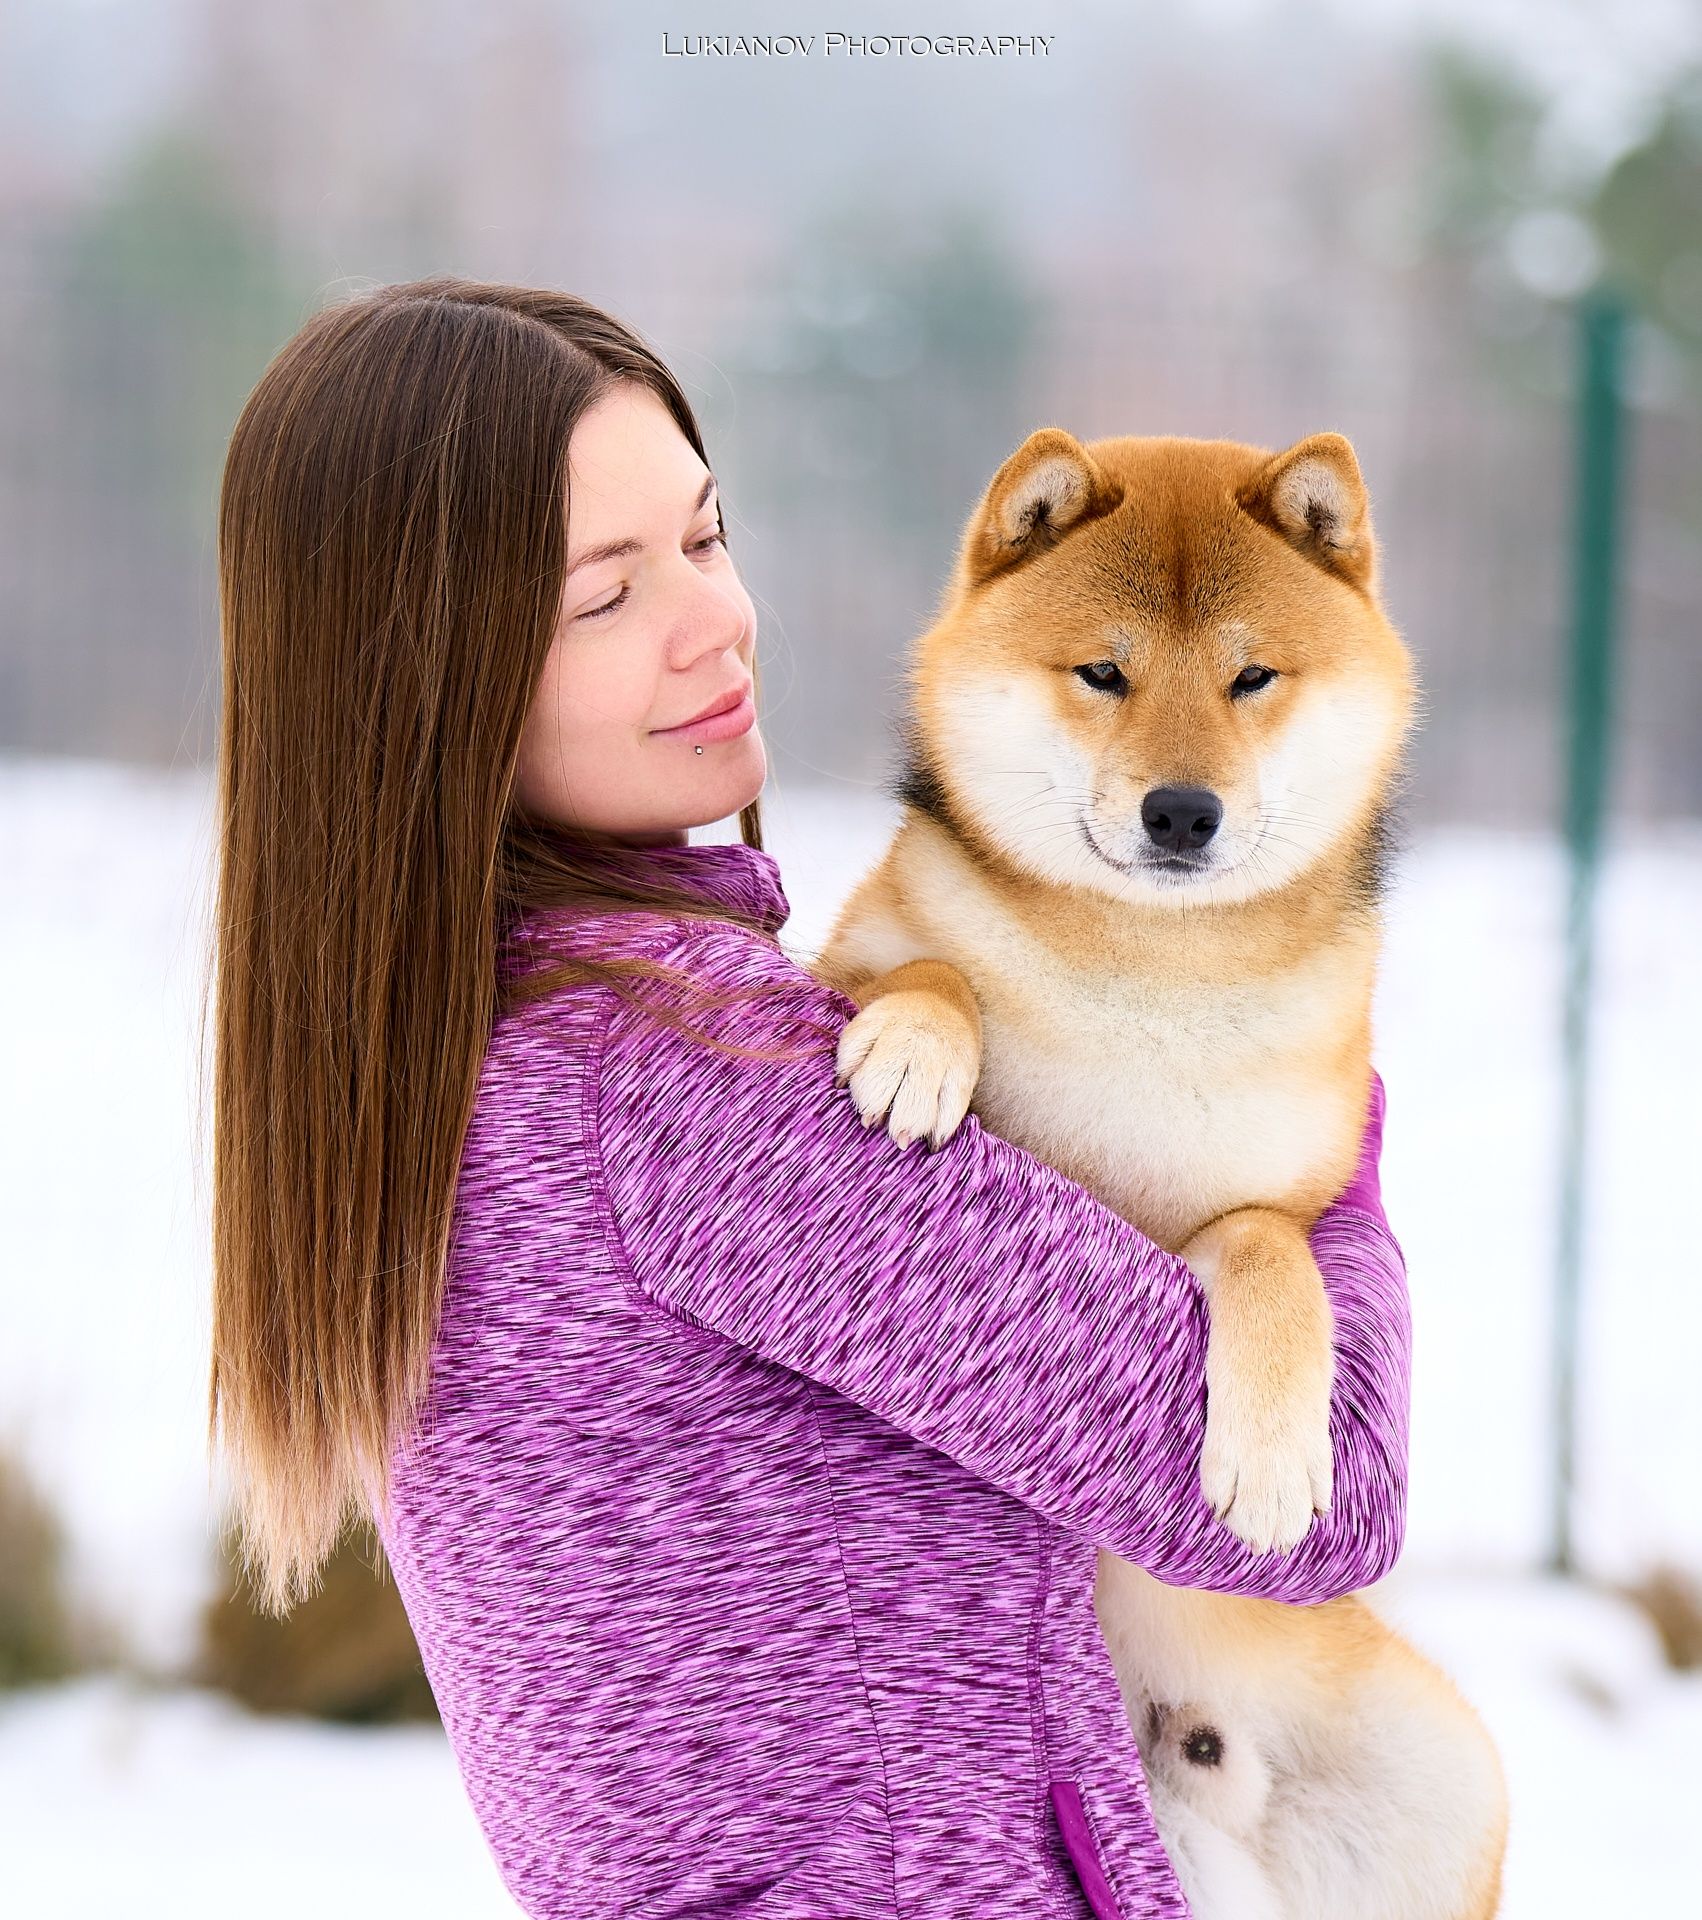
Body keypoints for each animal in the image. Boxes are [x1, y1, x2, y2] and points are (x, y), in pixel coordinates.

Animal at [814, 424, 1521, 1920]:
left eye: (1250, 676)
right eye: (1104, 673)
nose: (1181, 811)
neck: (1146, 981)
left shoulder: (1275, 1205)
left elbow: (1265, 1249)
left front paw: (1272, 1458)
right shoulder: (844, 964)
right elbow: (920, 969)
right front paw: (916, 1039)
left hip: (1449, 1777)